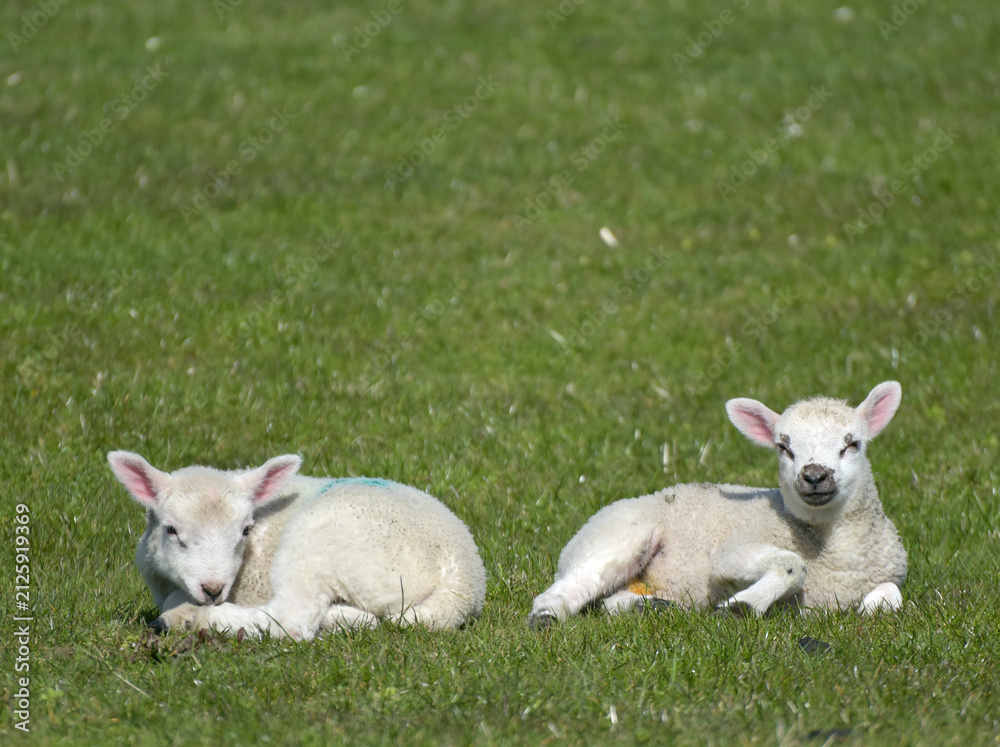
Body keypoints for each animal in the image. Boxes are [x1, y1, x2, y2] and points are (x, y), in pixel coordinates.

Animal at [107, 451, 486, 640]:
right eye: (171, 530)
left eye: (245, 530)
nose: (213, 588)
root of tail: (463, 580)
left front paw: (184, 612)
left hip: (318, 544)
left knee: (292, 621)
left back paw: (196, 619)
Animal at [528, 381, 908, 627]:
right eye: (783, 447)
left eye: (853, 444)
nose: (814, 476)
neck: (835, 554)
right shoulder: (731, 553)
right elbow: (792, 565)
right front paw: (742, 606)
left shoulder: (890, 573)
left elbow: (892, 597)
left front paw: (873, 607)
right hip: (614, 540)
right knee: (568, 589)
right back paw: (547, 617)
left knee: (610, 602)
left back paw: (650, 608)